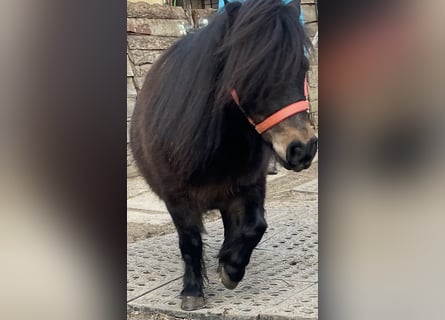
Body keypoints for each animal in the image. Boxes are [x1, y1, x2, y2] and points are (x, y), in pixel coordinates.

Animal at [130, 0, 318, 310]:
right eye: (250, 73)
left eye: (302, 67)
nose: (302, 148)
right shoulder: (176, 198)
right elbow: (190, 242)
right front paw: (192, 291)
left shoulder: (250, 185)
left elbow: (254, 227)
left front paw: (230, 267)